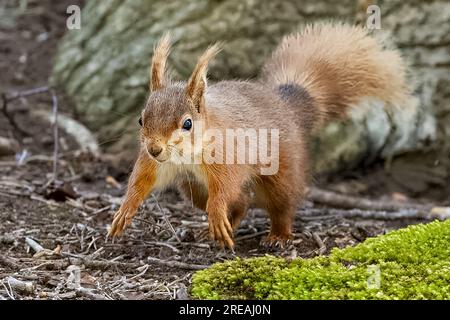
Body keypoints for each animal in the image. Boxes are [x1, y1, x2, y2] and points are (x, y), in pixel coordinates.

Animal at [108, 24, 408, 250]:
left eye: (187, 124)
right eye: (141, 120)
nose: (155, 148)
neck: (186, 154)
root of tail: (286, 105)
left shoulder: (227, 157)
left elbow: (224, 189)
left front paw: (217, 211)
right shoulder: (155, 165)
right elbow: (141, 182)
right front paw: (124, 210)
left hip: (281, 174)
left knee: (281, 205)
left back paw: (278, 236)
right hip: (192, 188)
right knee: (241, 202)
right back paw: (220, 228)